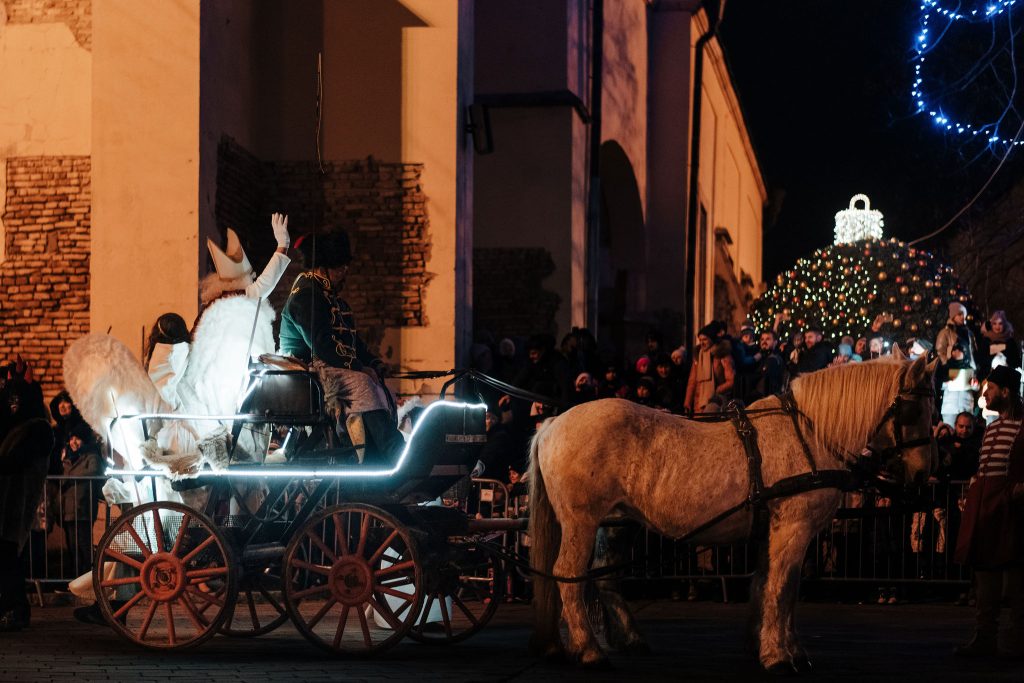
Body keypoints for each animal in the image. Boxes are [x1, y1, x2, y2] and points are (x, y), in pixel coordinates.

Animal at [528, 350, 937, 671]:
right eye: (915, 409)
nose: (922, 475)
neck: (808, 434)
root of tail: (553, 423)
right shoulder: (794, 527)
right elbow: (782, 586)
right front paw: (778, 655)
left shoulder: (774, 530)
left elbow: (769, 585)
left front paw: (769, 646)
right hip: (581, 522)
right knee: (568, 575)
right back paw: (588, 650)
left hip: (617, 522)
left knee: (604, 577)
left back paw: (627, 639)